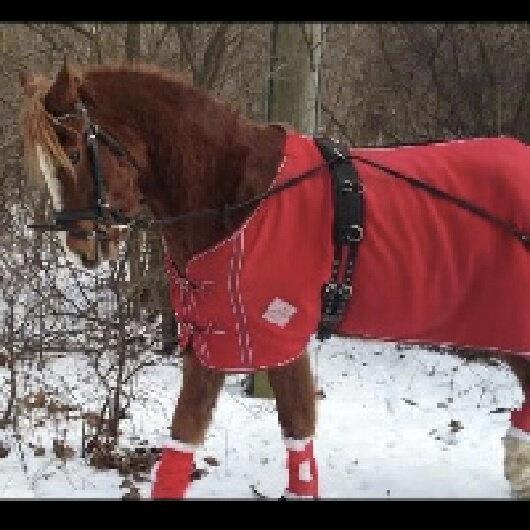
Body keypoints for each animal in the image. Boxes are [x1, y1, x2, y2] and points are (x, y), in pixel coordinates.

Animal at [18, 60, 528, 496]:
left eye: (75, 153)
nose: (82, 245)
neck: (236, 196)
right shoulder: (214, 335)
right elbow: (184, 436)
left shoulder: (280, 334)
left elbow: (298, 434)